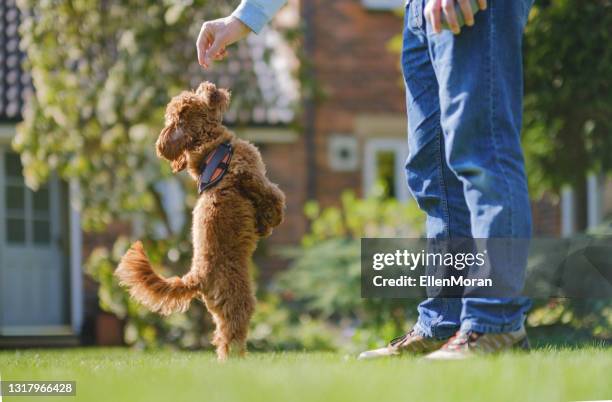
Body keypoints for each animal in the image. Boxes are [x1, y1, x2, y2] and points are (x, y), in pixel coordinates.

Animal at [113, 81, 286, 358]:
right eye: (197, 95)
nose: (209, 84)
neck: (210, 146)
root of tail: (196, 276)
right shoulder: (250, 175)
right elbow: (273, 196)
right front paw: (273, 219)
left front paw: (262, 227)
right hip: (239, 299)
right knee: (232, 335)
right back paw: (240, 359)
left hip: (219, 306)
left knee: (221, 336)